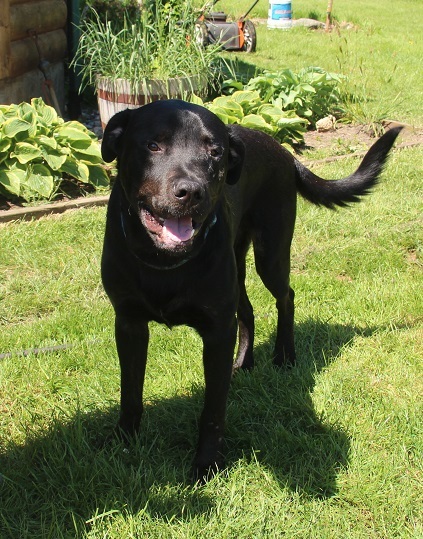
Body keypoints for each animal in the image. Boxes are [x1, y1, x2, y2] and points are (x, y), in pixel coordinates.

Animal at [101, 100, 402, 480]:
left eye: (215, 152)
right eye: (153, 145)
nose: (192, 192)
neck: (165, 262)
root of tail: (285, 152)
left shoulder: (217, 331)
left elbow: (213, 409)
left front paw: (207, 463)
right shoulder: (129, 324)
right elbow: (130, 391)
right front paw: (123, 440)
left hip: (270, 254)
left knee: (286, 297)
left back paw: (284, 355)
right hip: (238, 264)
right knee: (247, 309)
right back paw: (244, 362)